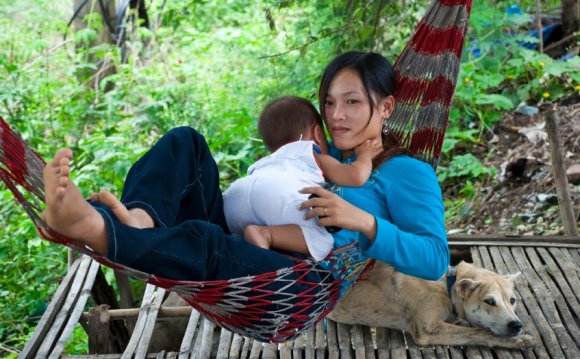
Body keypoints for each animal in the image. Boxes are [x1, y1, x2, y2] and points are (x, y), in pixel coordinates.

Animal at [328, 260, 536, 350]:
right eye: (489, 301)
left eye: (513, 300)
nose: (517, 325)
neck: (448, 286)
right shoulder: (428, 329)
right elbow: (479, 332)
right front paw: (517, 340)